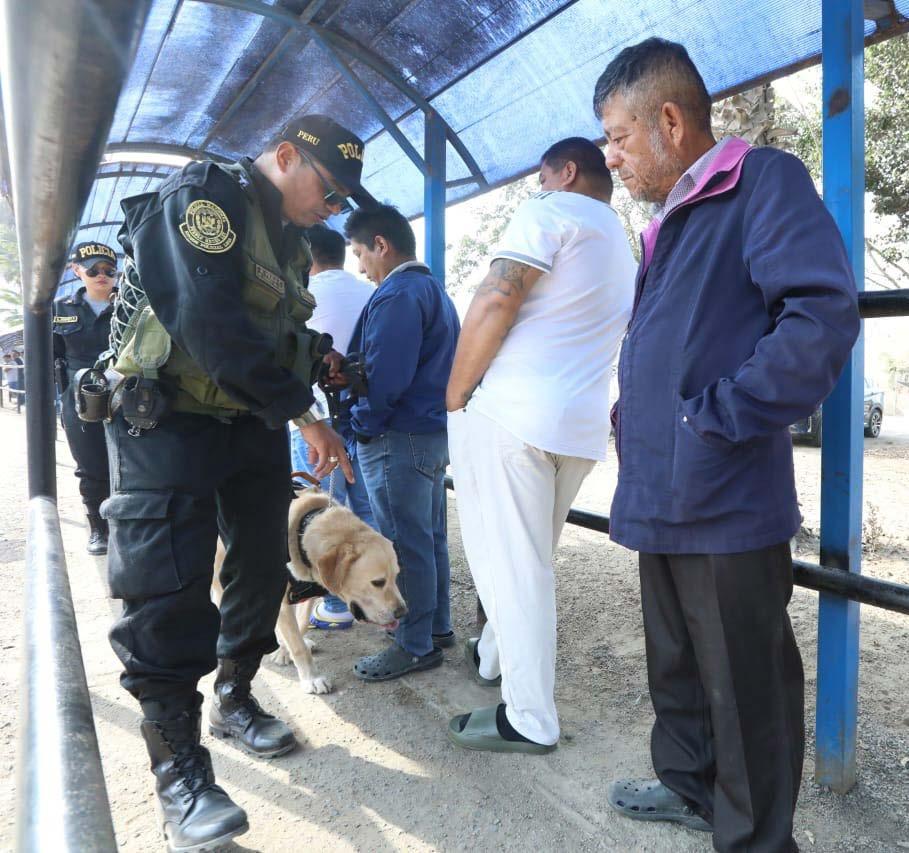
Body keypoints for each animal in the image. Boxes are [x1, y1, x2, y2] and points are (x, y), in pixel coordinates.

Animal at [213, 488, 406, 694]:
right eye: (378, 582)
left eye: (396, 576)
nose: (402, 613)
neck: (301, 533)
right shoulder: (278, 601)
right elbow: (297, 645)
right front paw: (311, 678)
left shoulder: (306, 596)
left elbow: (301, 625)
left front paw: (286, 650)